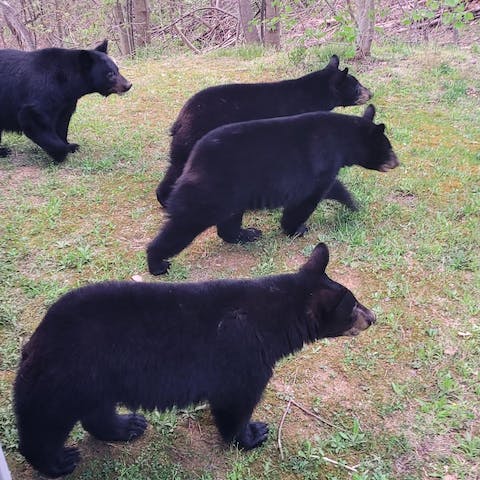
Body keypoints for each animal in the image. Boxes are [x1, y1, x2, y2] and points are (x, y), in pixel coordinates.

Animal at [0, 39, 131, 163]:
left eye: (118, 69)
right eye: (110, 74)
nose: (128, 85)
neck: (66, 82)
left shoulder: (66, 102)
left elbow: (62, 122)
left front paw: (70, 145)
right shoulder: (42, 92)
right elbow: (32, 117)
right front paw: (62, 152)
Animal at [14, 244, 376, 476]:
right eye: (353, 308)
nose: (372, 317)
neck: (273, 317)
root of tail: (40, 334)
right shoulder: (243, 356)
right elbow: (235, 404)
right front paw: (252, 434)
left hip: (96, 378)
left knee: (97, 410)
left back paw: (128, 425)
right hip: (68, 375)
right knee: (44, 422)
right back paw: (57, 462)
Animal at [146, 106, 398, 276]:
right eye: (387, 147)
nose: (397, 162)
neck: (341, 141)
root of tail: (194, 159)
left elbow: (333, 187)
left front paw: (352, 205)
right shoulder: (319, 164)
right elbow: (309, 198)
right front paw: (297, 228)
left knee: (228, 221)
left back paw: (247, 234)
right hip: (212, 189)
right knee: (185, 222)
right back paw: (157, 262)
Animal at [156, 54, 374, 208]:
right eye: (357, 87)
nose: (371, 92)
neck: (313, 94)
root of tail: (181, 117)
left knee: (174, 166)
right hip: (194, 135)